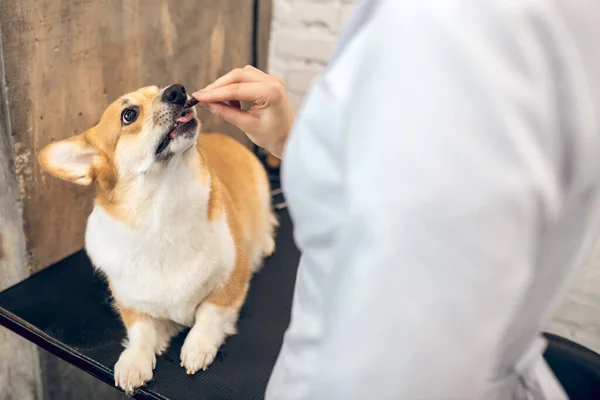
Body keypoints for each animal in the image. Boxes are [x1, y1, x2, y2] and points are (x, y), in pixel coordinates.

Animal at [38, 84, 278, 394]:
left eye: (158, 89)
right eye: (129, 115)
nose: (177, 90)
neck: (163, 213)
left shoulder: (232, 278)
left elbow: (209, 314)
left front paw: (197, 347)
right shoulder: (132, 304)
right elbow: (141, 333)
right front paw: (132, 363)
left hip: (261, 195)